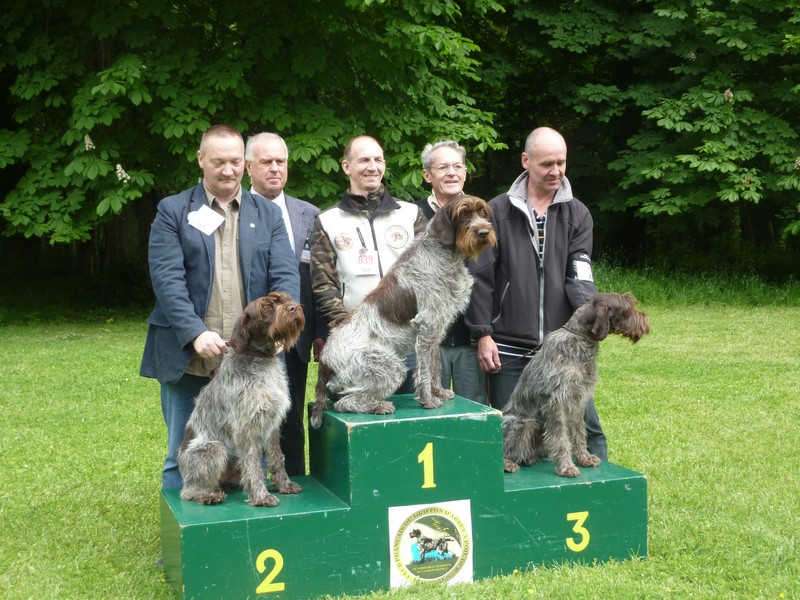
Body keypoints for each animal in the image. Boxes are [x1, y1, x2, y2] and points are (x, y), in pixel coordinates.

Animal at [180, 292, 304, 506]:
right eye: (265, 308)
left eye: (285, 299)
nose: (293, 307)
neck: (260, 360)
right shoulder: (244, 428)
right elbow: (252, 464)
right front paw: (261, 496)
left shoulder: (271, 422)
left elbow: (277, 457)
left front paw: (284, 484)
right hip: (215, 449)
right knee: (188, 491)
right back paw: (209, 495)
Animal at [310, 195, 494, 424]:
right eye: (463, 214)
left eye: (482, 212)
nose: (484, 232)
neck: (446, 254)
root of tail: (325, 361)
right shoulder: (427, 324)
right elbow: (424, 370)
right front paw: (428, 400)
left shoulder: (436, 327)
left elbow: (434, 365)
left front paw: (439, 392)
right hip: (390, 367)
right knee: (345, 403)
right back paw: (378, 406)